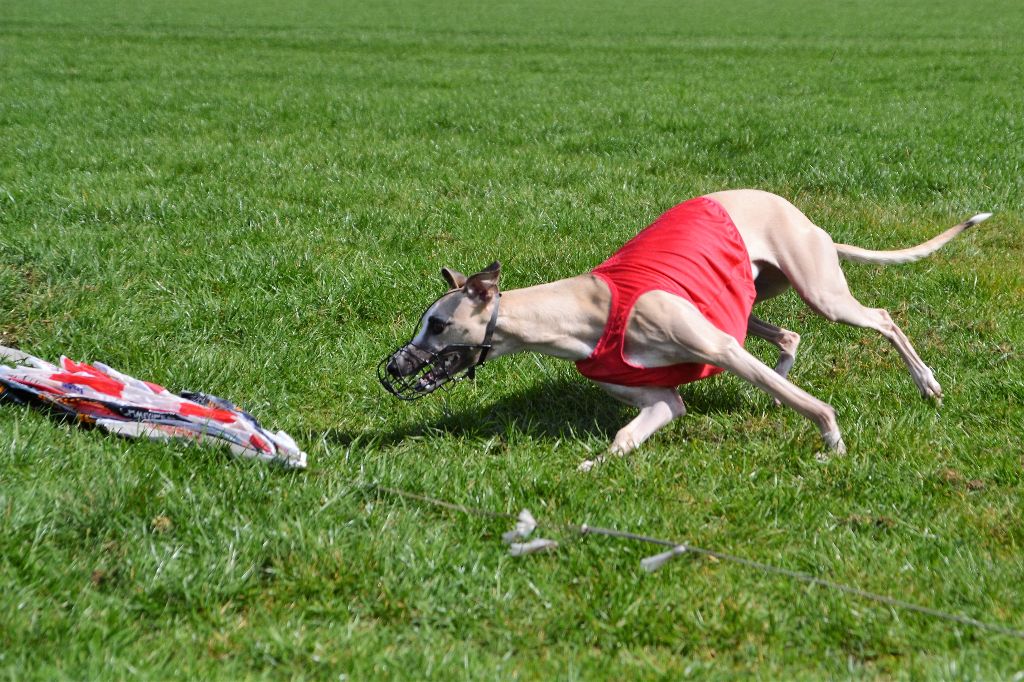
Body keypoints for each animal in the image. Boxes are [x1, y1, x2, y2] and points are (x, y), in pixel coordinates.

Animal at [380, 188, 987, 471]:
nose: (394, 367)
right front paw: (592, 467)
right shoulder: (660, 401)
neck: (588, 309)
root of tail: (811, 223)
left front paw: (832, 444)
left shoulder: (718, 347)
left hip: (819, 294)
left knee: (880, 319)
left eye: (437, 324)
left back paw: (927, 383)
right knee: (787, 338)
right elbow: (634, 430)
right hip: (747, 300)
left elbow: (813, 404)